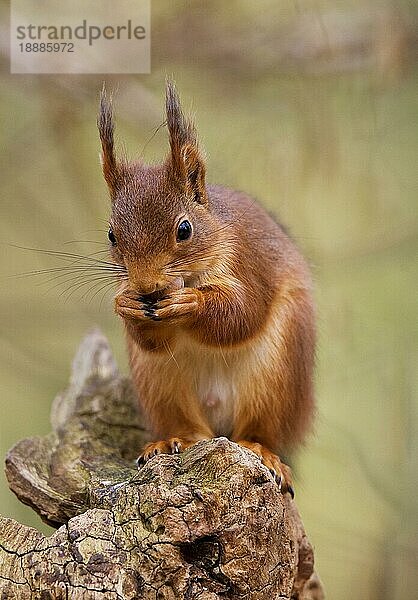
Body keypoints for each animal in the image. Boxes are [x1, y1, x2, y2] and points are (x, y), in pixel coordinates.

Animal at [97, 82, 314, 494]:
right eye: (112, 235)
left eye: (184, 229)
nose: (146, 287)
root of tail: (218, 426)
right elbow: (151, 339)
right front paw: (125, 304)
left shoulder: (248, 262)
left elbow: (242, 315)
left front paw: (190, 302)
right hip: (160, 385)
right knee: (186, 426)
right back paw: (173, 440)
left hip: (277, 377)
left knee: (260, 429)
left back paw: (260, 449)